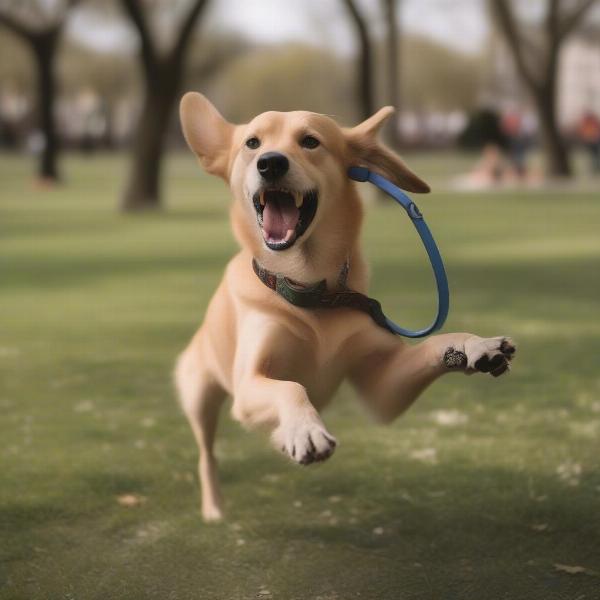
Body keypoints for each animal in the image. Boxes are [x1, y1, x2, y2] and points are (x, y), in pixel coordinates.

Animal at [173, 92, 516, 520]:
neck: (310, 291)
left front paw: (473, 346)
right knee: (207, 454)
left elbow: (438, 343)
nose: (271, 162)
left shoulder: (382, 389)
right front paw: (305, 430)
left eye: (310, 141)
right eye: (252, 143)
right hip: (200, 397)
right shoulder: (249, 384)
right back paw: (215, 507)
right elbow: (291, 388)